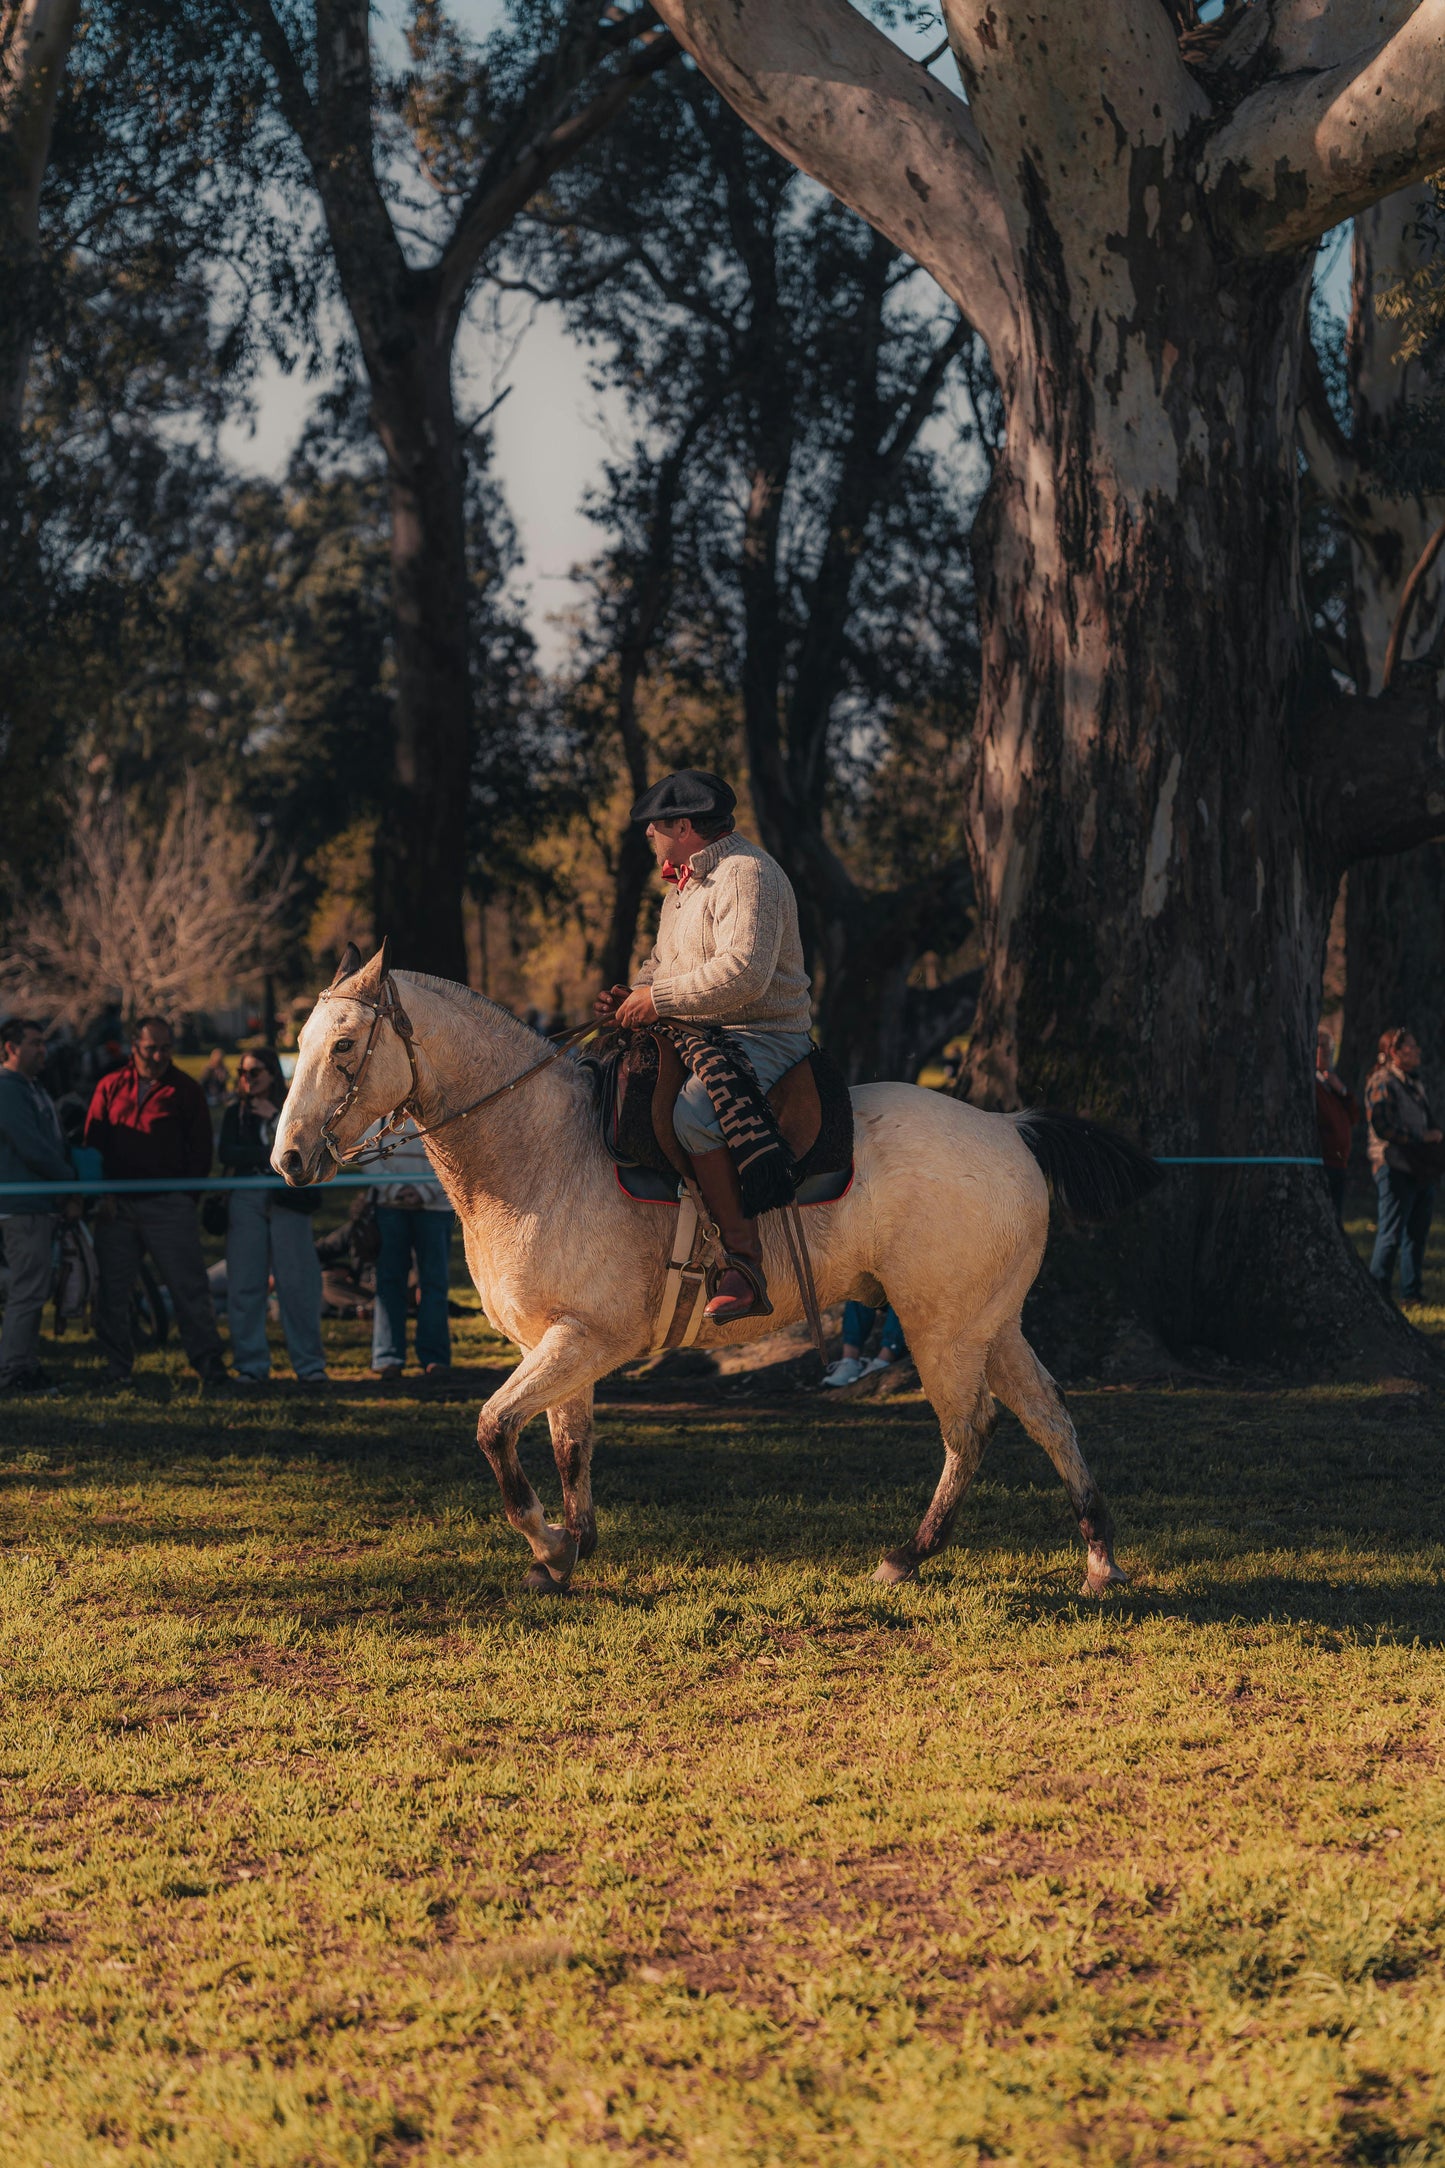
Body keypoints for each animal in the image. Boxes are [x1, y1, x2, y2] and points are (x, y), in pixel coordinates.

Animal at [274, 945, 1157, 1596]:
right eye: (303, 1045)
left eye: (344, 1045)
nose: (288, 1160)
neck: (542, 1149)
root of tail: (1010, 1128)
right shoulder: (555, 1346)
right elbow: (568, 1446)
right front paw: (570, 1548)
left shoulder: (583, 1341)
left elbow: (496, 1430)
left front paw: (550, 1545)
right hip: (990, 1322)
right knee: (1049, 1416)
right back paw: (1098, 1562)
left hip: (941, 1327)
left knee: (967, 1430)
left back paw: (906, 1556)